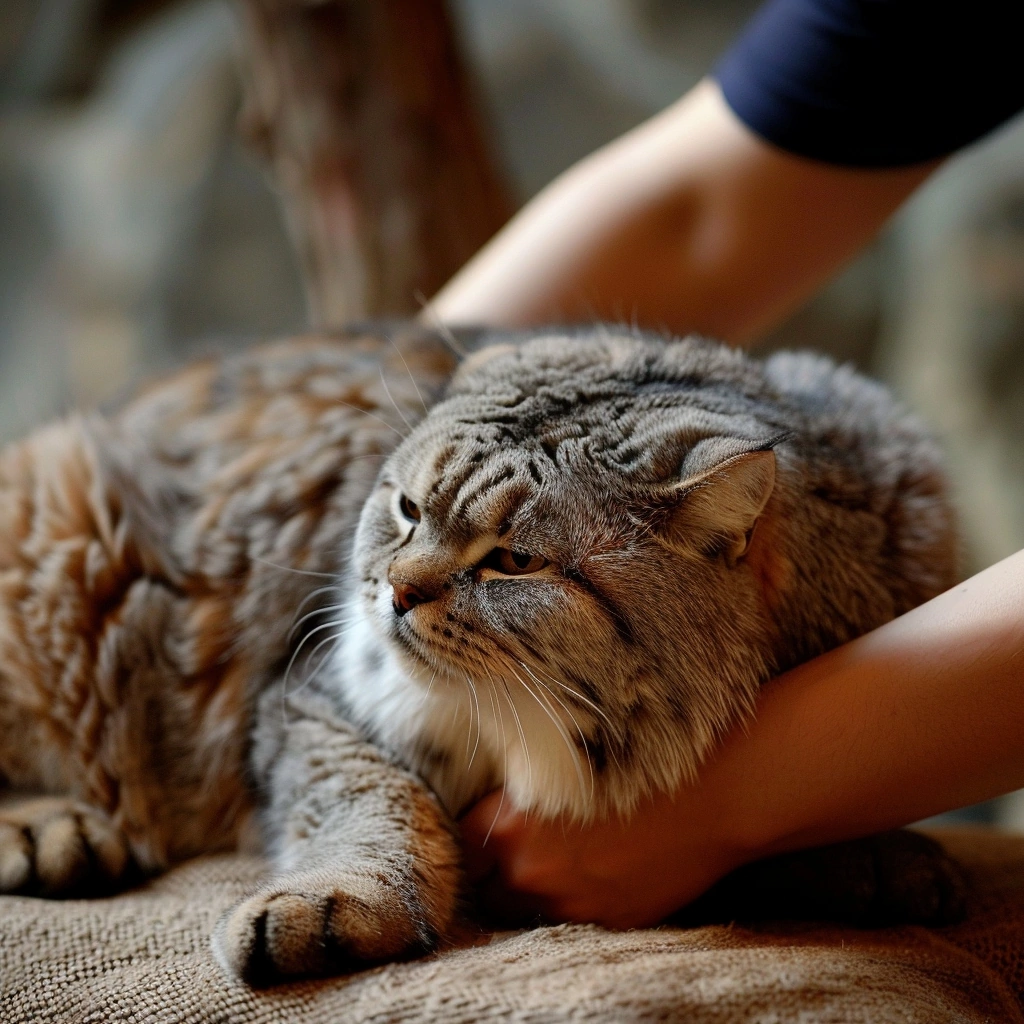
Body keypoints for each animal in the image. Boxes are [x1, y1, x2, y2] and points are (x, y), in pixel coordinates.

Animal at [0, 325, 962, 983]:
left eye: (514, 562)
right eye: (407, 510)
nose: (393, 591)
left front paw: (876, 856)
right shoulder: (309, 693)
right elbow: (369, 793)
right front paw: (338, 898)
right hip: (57, 509)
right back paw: (48, 826)